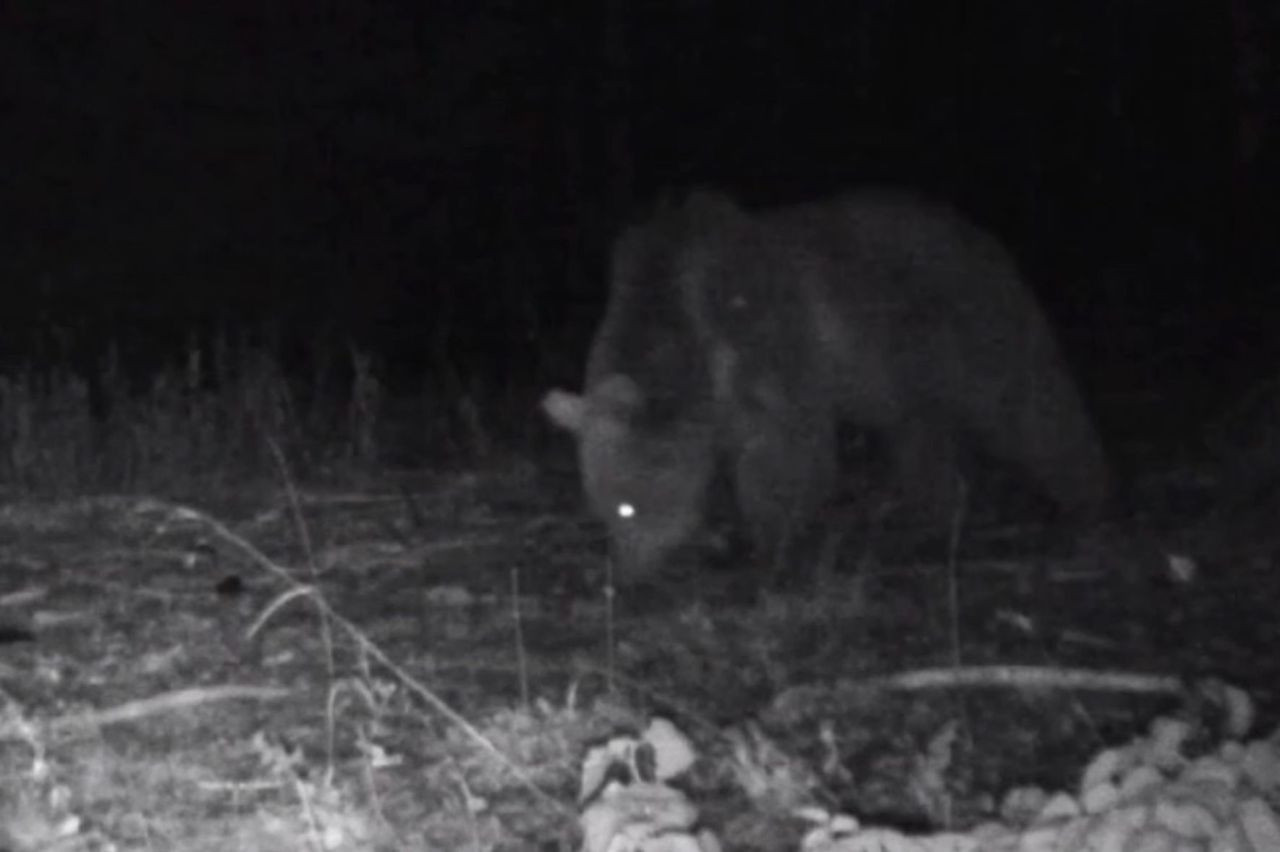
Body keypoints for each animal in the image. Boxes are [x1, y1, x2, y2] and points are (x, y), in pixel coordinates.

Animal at [545, 189, 1105, 583]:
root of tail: (981, 234)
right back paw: (934, 524)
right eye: (600, 505)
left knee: (1030, 406)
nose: (628, 579)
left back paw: (1089, 507)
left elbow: (786, 453)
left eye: (628, 505)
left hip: (971, 326)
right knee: (924, 439)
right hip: (906, 376)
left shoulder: (767, 345)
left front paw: (773, 548)